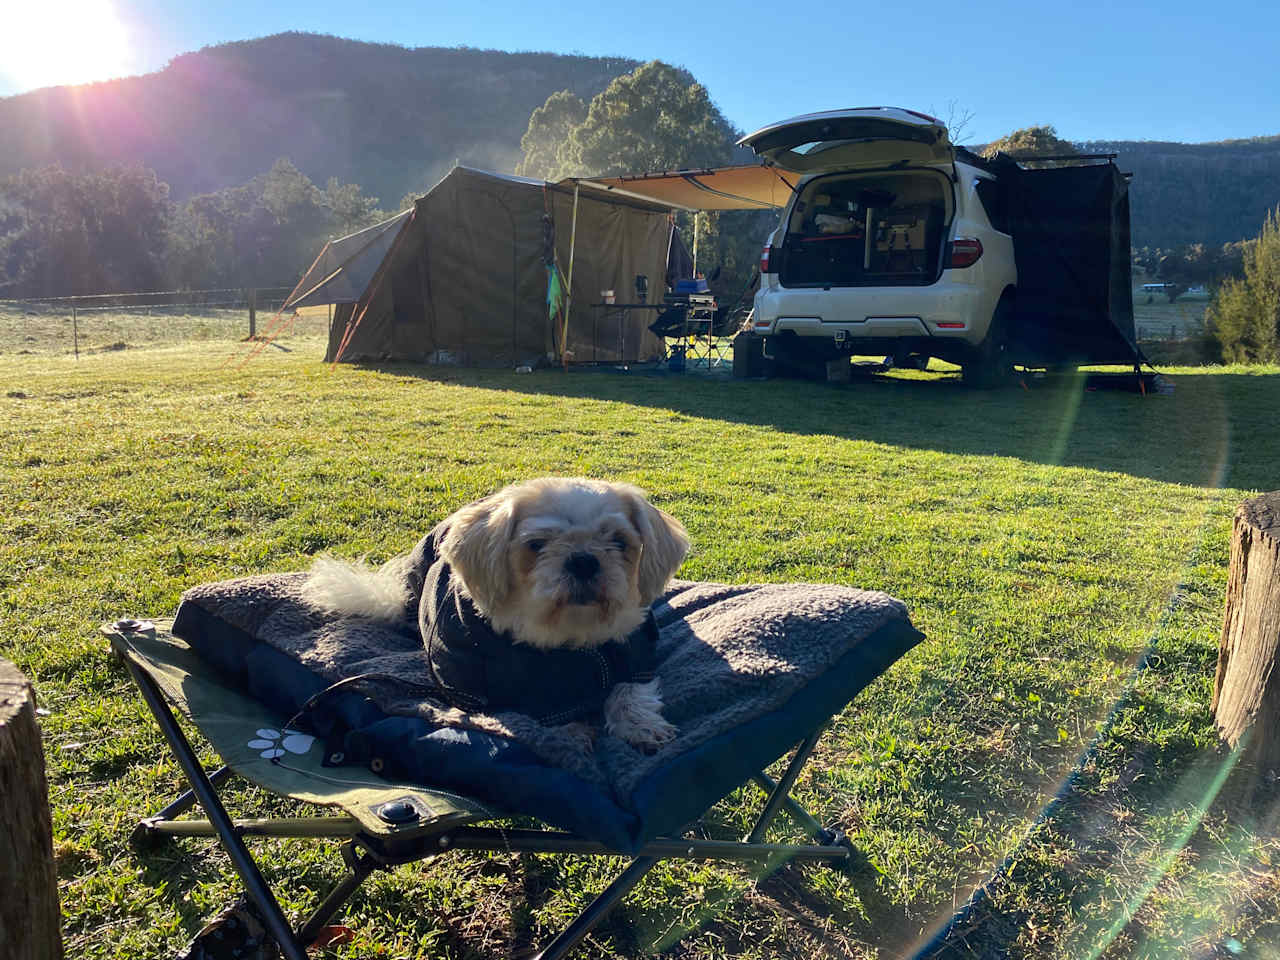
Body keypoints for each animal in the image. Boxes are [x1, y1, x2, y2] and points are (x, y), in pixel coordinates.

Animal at [299, 478, 691, 752]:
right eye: (536, 545)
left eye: (619, 542)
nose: (583, 560)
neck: (568, 641)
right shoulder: (469, 688)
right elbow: (533, 713)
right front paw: (567, 732)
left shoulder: (635, 649)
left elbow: (630, 690)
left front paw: (641, 726)